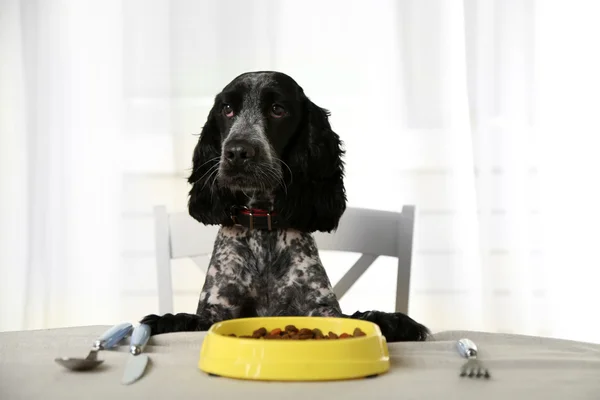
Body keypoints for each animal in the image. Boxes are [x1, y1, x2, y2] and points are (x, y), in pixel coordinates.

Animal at [141, 70, 432, 342]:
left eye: (277, 109)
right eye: (227, 109)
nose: (237, 152)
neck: (262, 224)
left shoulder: (319, 307)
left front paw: (397, 321)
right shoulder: (218, 308)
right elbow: (189, 319)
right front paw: (161, 321)